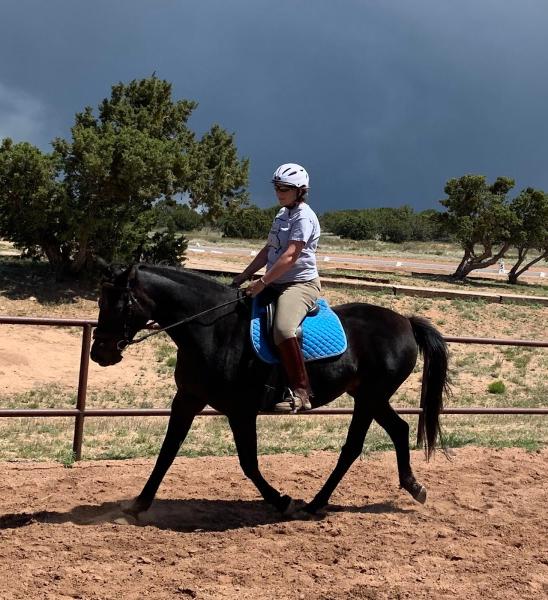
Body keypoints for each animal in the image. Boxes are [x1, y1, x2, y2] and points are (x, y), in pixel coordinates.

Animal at [91, 264, 450, 516]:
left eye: (117, 305)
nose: (99, 353)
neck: (215, 330)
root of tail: (404, 321)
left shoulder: (241, 411)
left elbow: (249, 463)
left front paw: (281, 501)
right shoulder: (188, 399)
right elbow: (167, 452)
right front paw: (138, 505)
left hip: (370, 397)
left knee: (352, 447)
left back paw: (314, 504)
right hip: (369, 396)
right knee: (398, 430)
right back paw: (413, 486)